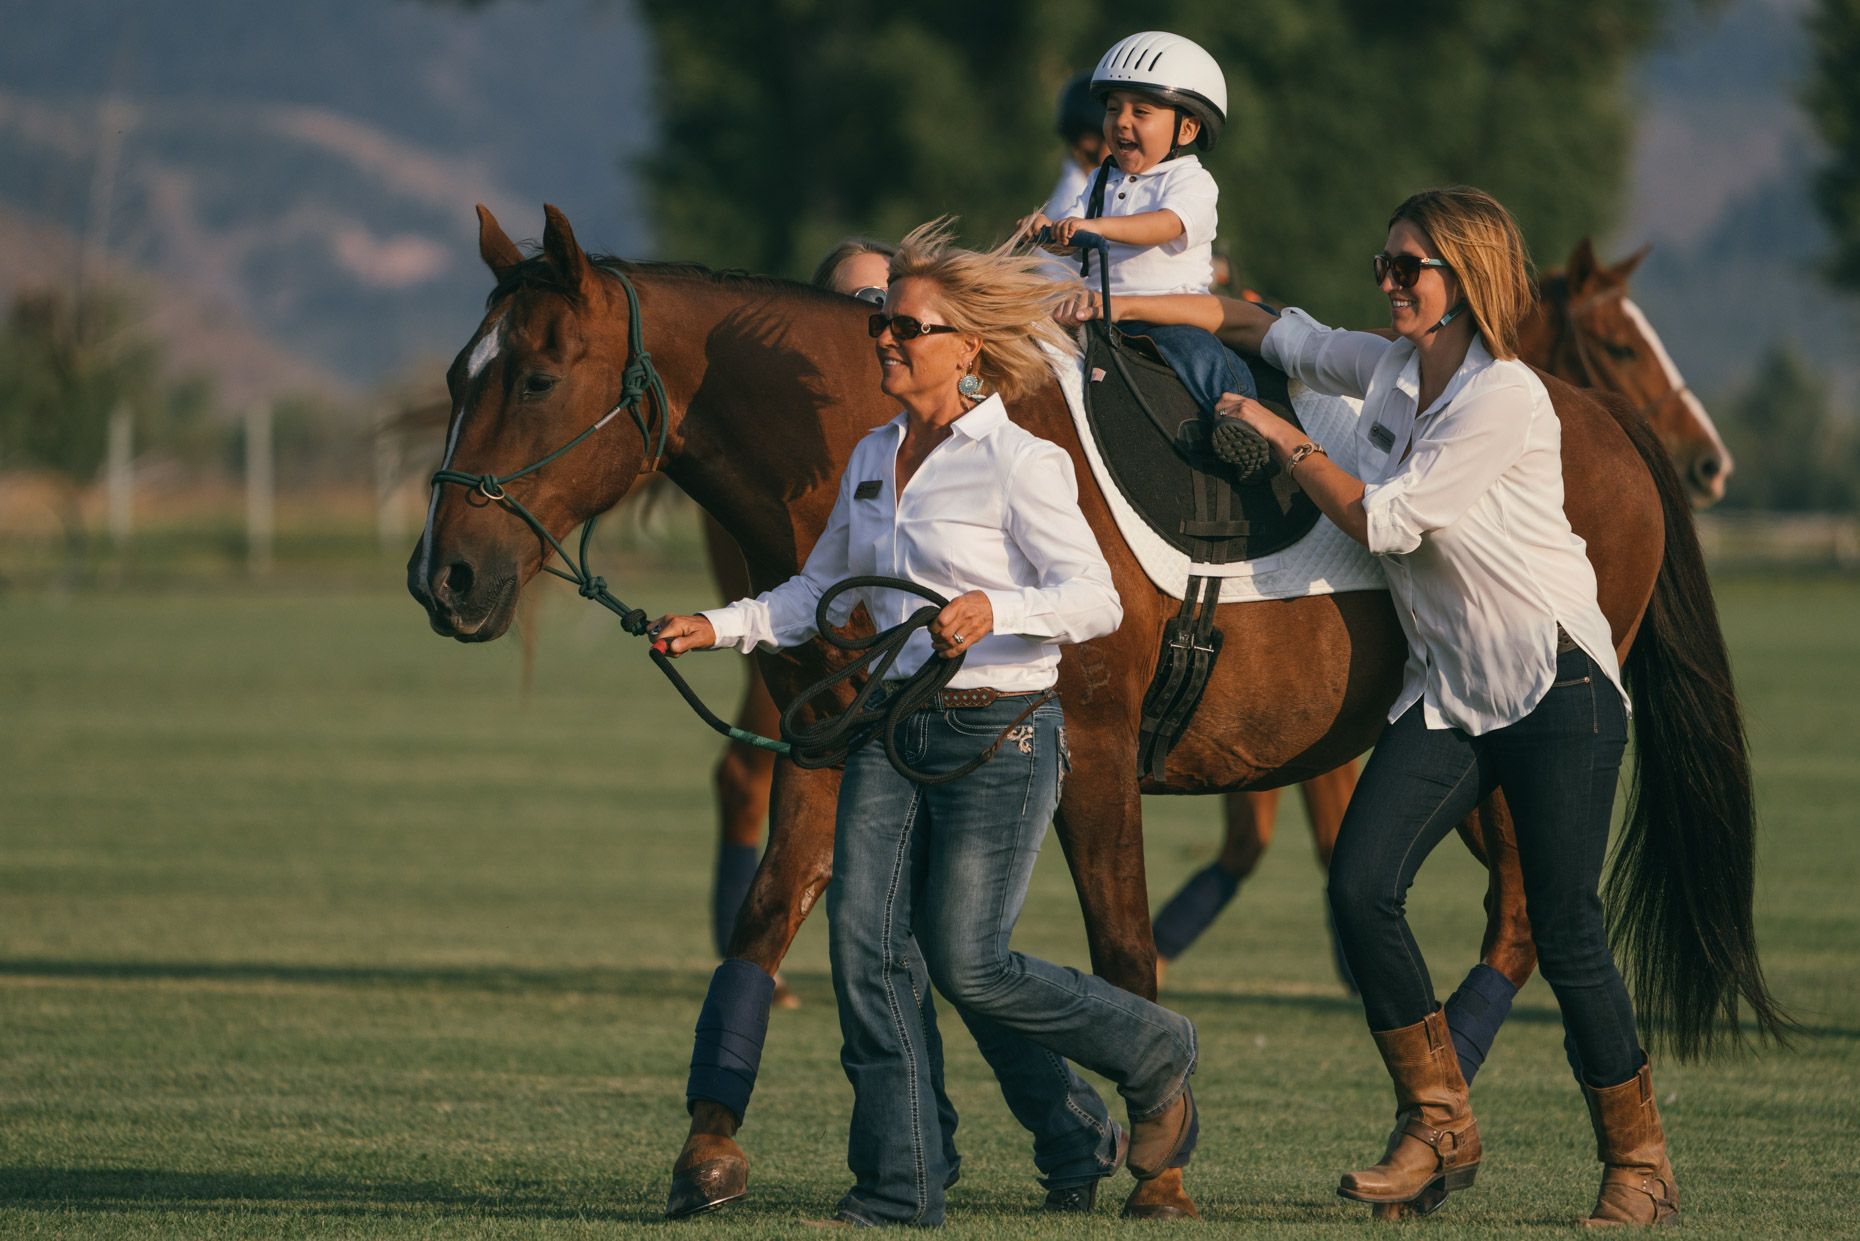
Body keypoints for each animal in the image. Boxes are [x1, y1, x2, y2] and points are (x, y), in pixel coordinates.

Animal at [409, 205, 1781, 1221]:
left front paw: (1154, 1156)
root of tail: (1601, 430)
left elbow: (1116, 949)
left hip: (1507, 735)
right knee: (1505, 912)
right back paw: (1431, 1135)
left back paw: (1453, 1135)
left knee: (1525, 914)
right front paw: (711, 1142)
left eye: (538, 373)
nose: (446, 576)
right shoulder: (839, 742)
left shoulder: (1100, 755)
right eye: (464, 374)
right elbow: (784, 921)